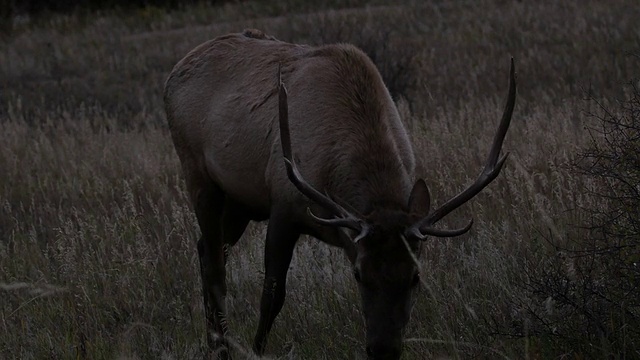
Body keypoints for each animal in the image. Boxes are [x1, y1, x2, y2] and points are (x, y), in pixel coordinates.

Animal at [162, 28, 516, 360]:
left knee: (206, 249)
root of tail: (173, 75)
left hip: (239, 202)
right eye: (359, 274)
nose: (383, 350)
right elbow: (272, 295)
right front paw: (257, 350)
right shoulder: (283, 207)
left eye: (415, 275)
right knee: (215, 265)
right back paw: (220, 348)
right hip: (198, 174)